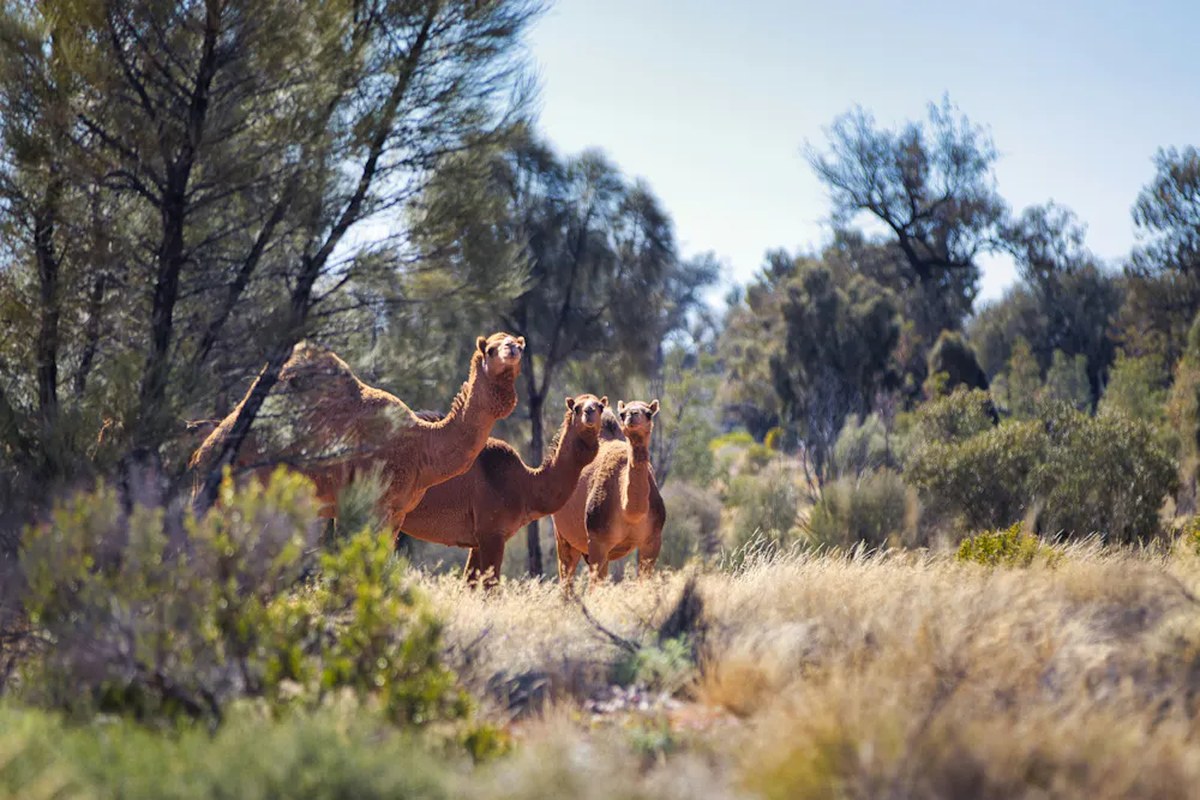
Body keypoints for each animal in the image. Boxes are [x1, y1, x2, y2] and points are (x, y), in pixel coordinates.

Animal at [190, 333, 524, 530]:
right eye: (491, 349)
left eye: (519, 344)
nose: (513, 350)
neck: (422, 445)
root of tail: (199, 456)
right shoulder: (368, 505)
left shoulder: (397, 513)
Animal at [398, 394, 608, 587]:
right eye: (576, 408)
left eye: (600, 406)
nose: (589, 412)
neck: (524, 485)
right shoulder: (492, 533)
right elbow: (491, 587)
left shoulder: (478, 540)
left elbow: (469, 583)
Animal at [552, 399, 666, 593]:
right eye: (623, 413)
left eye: (649, 413)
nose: (632, 415)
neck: (630, 512)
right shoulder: (598, 540)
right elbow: (594, 587)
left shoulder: (652, 540)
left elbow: (645, 581)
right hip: (563, 536)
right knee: (566, 573)